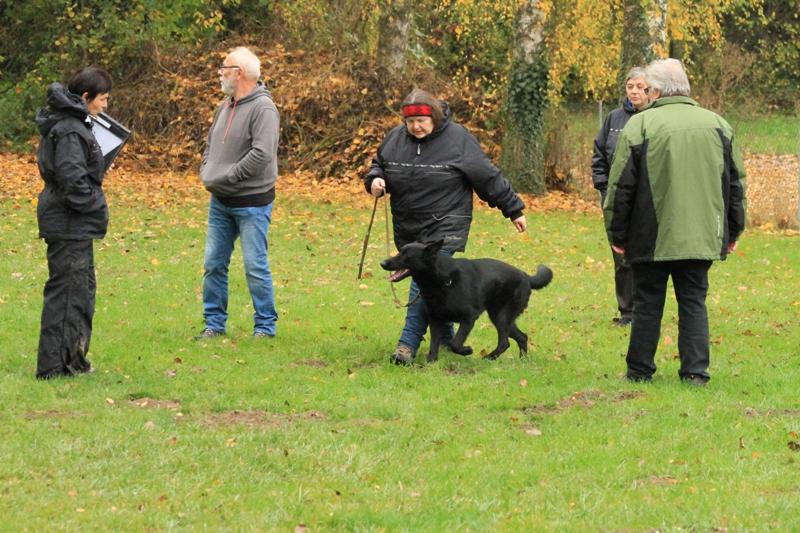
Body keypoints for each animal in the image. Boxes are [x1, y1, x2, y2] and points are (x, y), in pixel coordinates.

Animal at [380, 231, 553, 363]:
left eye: (405, 255)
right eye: (400, 251)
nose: (383, 263)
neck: (443, 280)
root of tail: (526, 276)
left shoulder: (469, 318)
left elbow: (455, 343)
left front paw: (466, 350)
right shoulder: (435, 320)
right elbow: (434, 344)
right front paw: (431, 362)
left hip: (500, 315)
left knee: (505, 342)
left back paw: (490, 358)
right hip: (503, 317)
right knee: (522, 337)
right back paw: (522, 361)